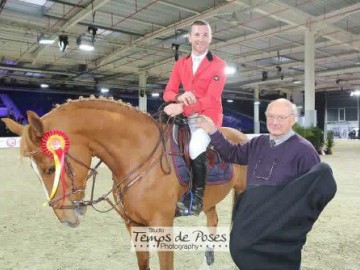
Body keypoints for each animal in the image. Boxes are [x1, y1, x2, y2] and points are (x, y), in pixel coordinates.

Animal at [2, 96, 248, 268]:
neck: (137, 155)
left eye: (50, 168)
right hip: (209, 199)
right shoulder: (133, 224)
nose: (66, 219)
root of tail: (241, 135)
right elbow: (143, 262)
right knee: (213, 220)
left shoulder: (163, 225)